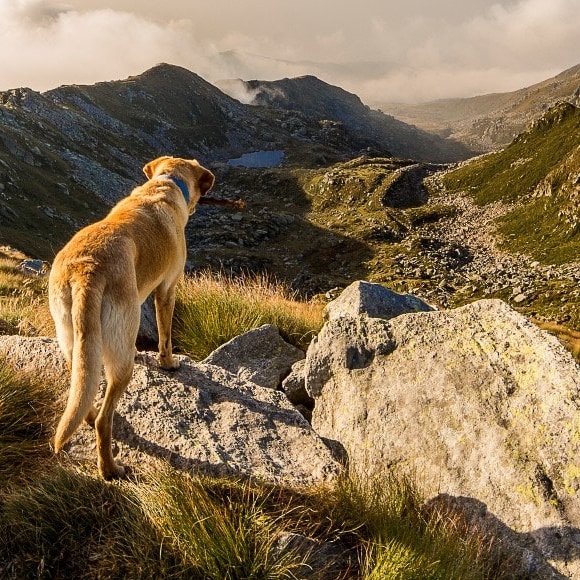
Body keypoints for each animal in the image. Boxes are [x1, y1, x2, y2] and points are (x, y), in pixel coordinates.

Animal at [49, 156, 215, 478]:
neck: (164, 184)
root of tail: (87, 271)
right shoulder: (167, 290)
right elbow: (165, 335)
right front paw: (169, 363)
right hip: (122, 359)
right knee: (105, 420)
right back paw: (110, 469)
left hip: (72, 338)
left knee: (82, 389)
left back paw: (85, 418)